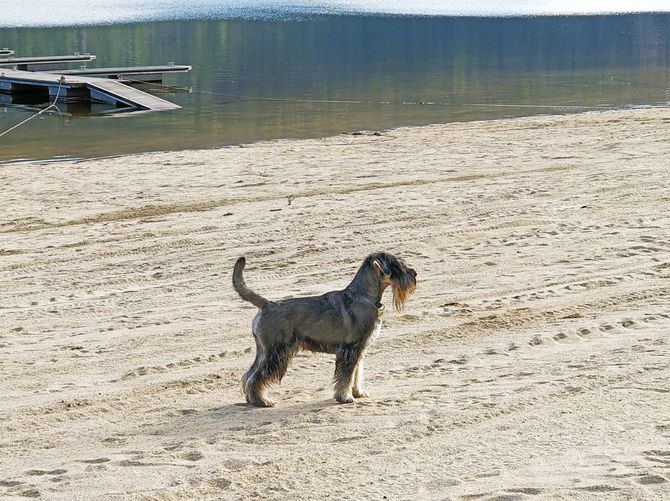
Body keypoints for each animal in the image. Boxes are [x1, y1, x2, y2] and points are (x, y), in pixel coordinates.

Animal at [234, 252, 418, 404]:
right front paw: (345, 397)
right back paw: (262, 400)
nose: (414, 274)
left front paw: (358, 392)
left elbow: (356, 373)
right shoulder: (350, 350)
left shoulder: (359, 351)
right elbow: (346, 376)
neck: (363, 296)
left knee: (248, 375)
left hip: (264, 351)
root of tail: (267, 304)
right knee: (256, 377)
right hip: (276, 353)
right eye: (397, 266)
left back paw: (252, 399)